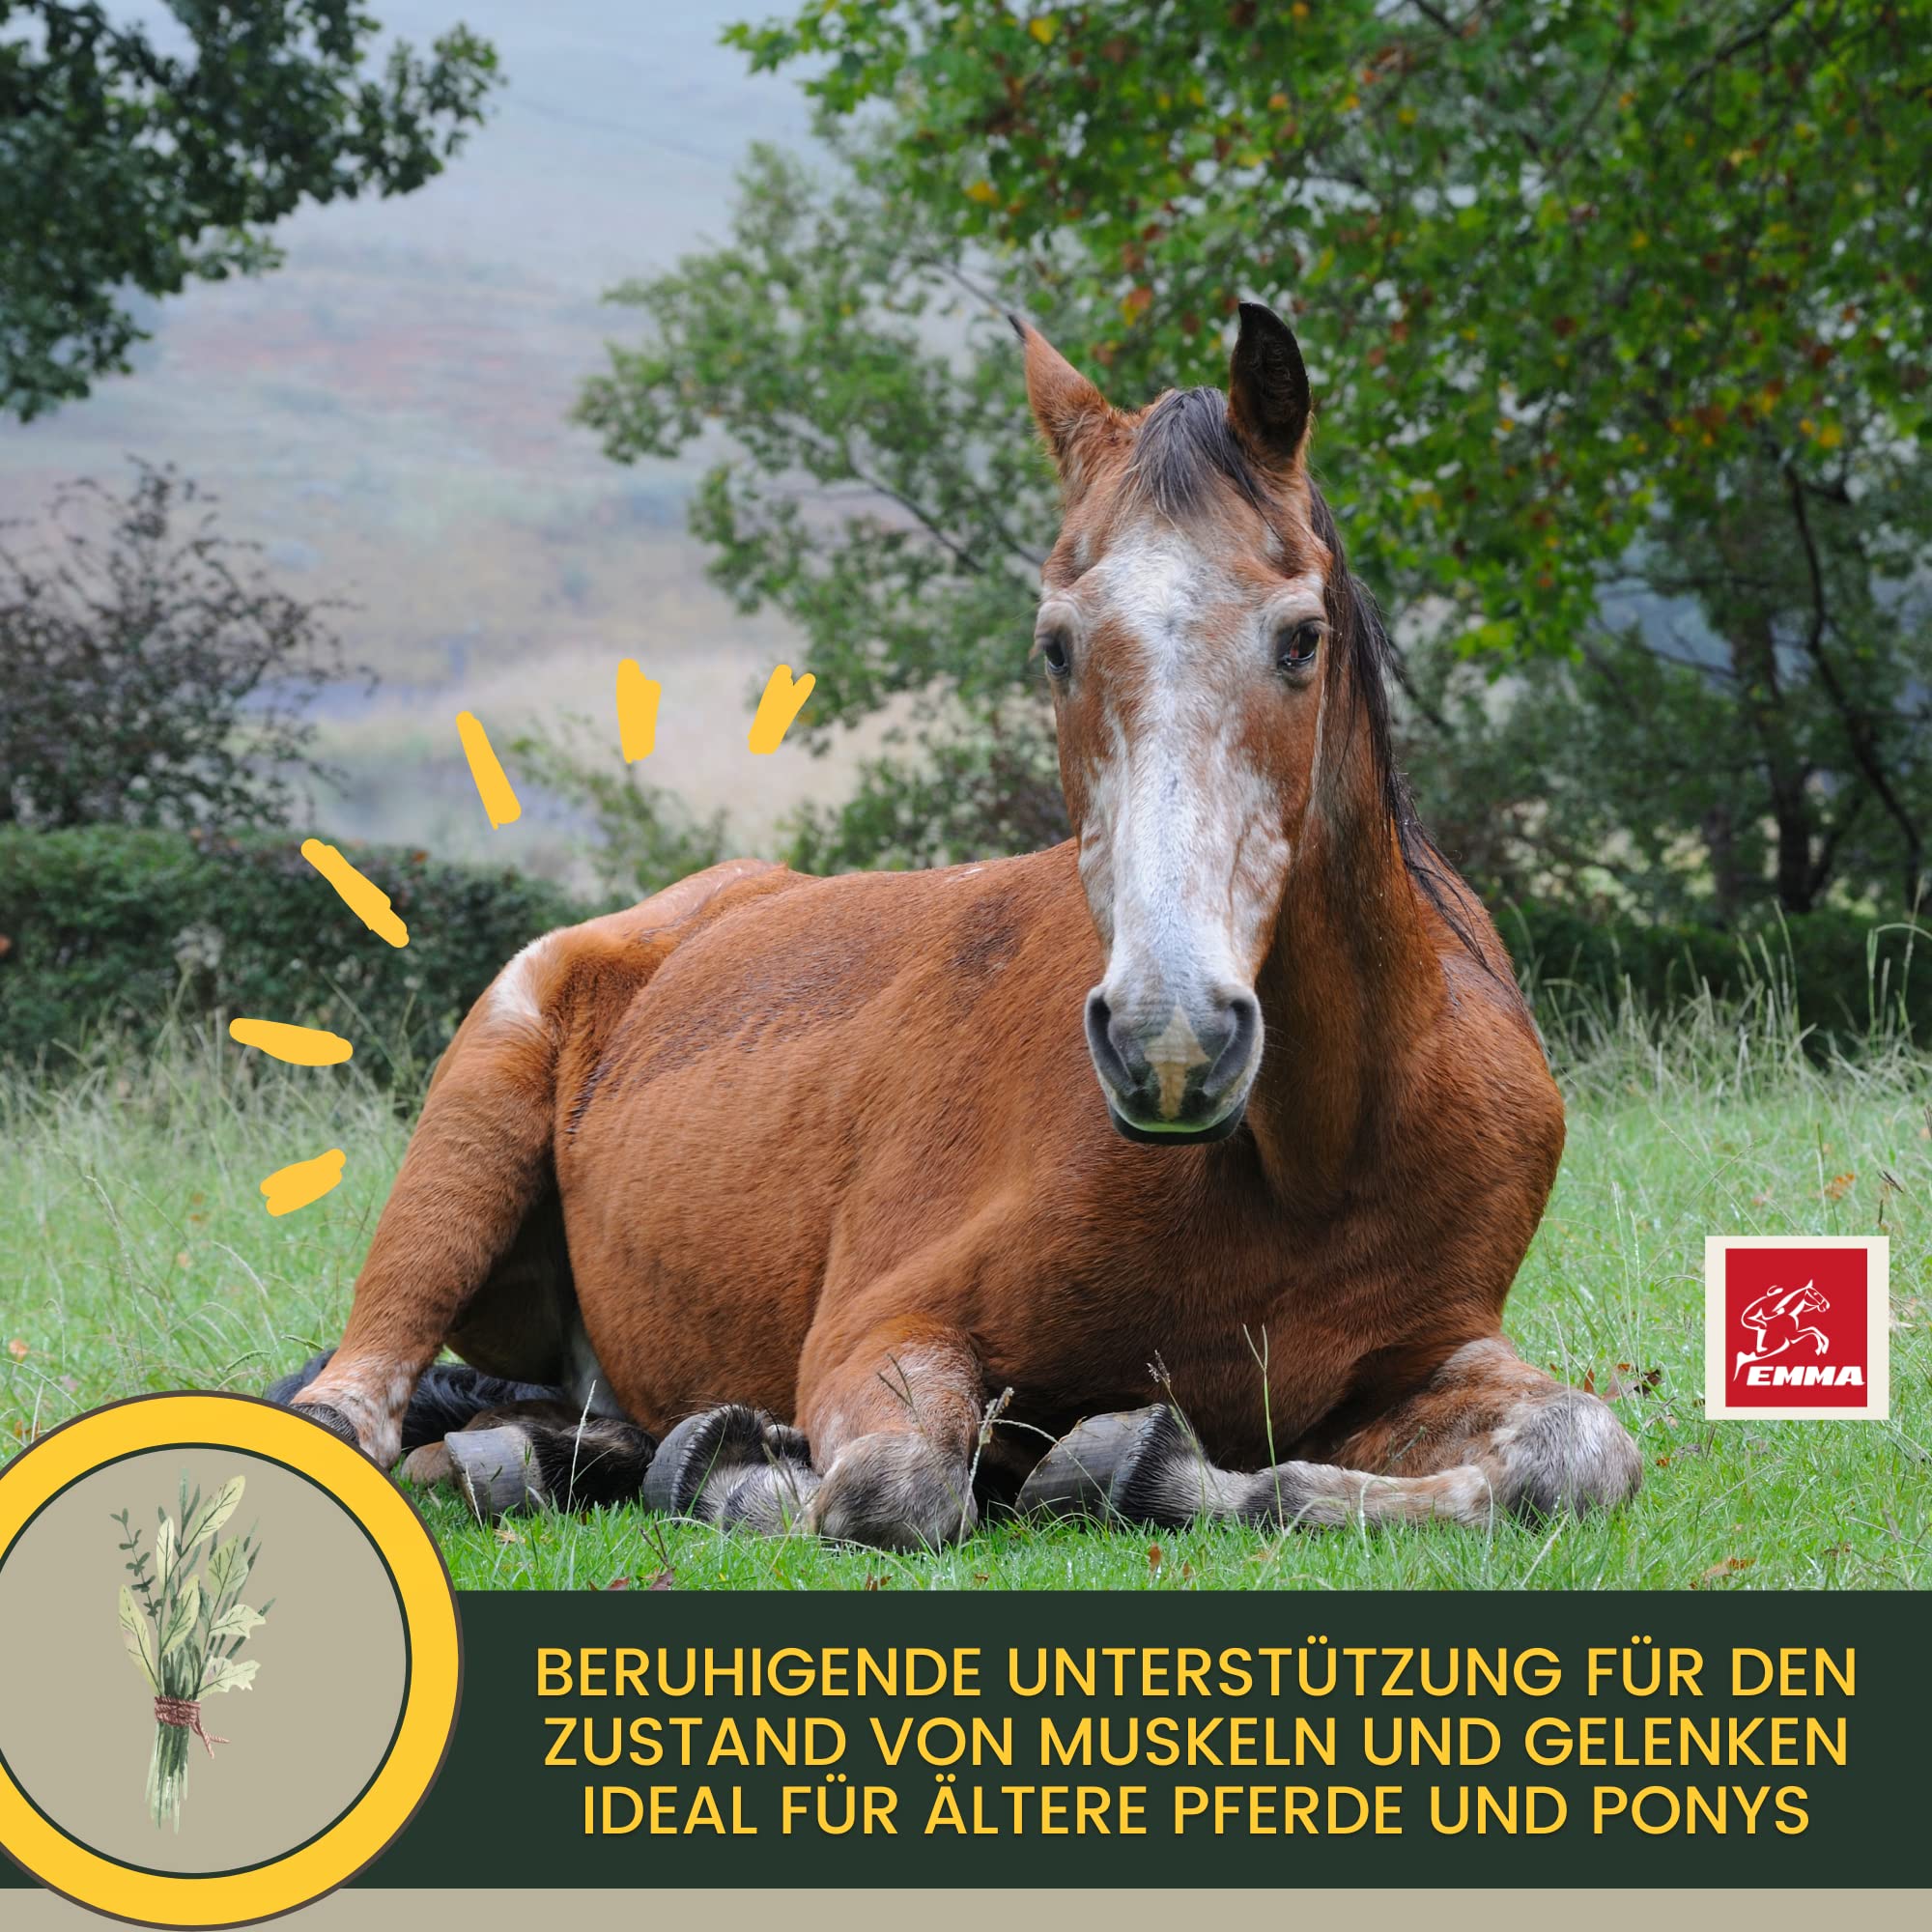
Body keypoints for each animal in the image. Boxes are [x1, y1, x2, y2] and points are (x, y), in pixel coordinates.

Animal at [271, 301, 1641, 1550]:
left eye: (1300, 637)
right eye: (1055, 646)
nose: (1171, 1041)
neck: (1317, 1152)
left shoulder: (1415, 1362)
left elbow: (1578, 1451)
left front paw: (1131, 1463)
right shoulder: (881, 1329)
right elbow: (892, 1485)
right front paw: (747, 1469)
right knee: (352, 1414)